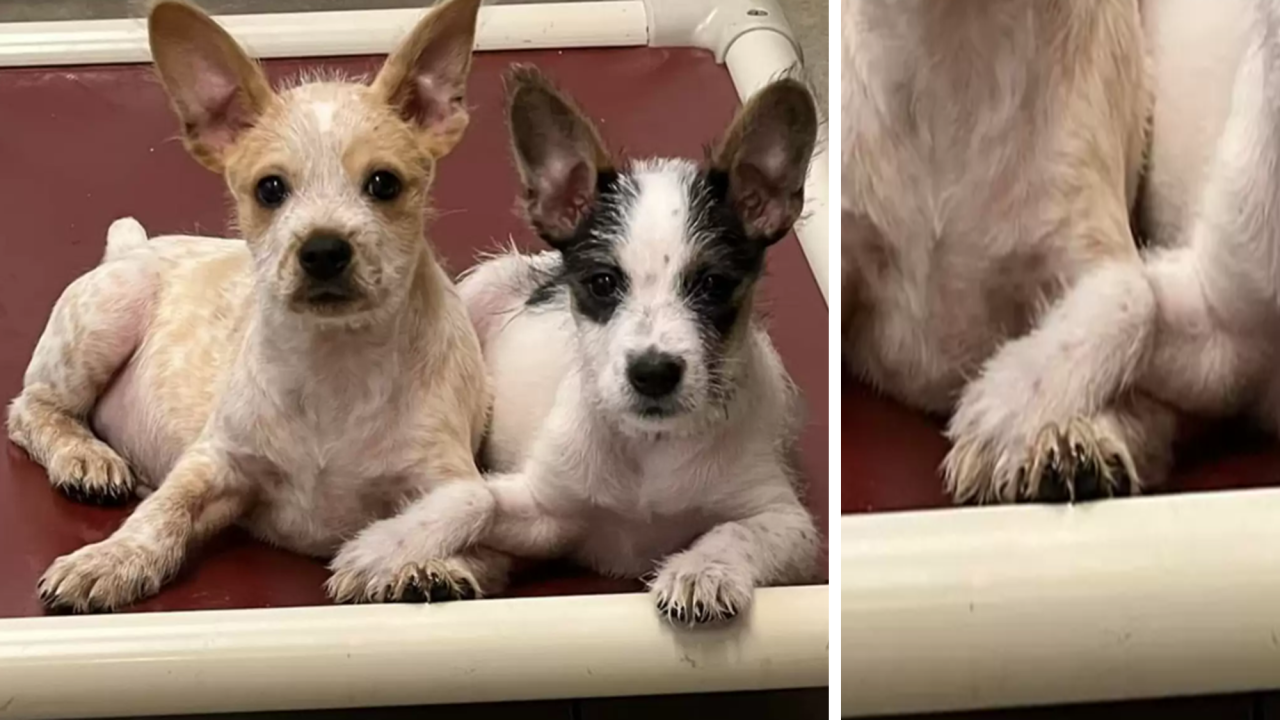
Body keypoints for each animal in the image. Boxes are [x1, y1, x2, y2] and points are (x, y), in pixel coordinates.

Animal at [7, 0, 490, 612]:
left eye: (383, 184)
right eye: (270, 189)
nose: (323, 250)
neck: (334, 363)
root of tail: (133, 245)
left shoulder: (446, 477)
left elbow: (458, 520)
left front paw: (417, 563)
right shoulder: (215, 461)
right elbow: (161, 512)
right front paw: (110, 559)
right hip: (105, 316)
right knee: (33, 408)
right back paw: (86, 457)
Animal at [325, 67, 822, 625]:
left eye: (713, 285)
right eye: (602, 283)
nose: (653, 373)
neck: (649, 448)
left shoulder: (788, 522)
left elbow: (735, 532)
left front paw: (702, 570)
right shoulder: (547, 511)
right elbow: (473, 496)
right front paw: (384, 547)